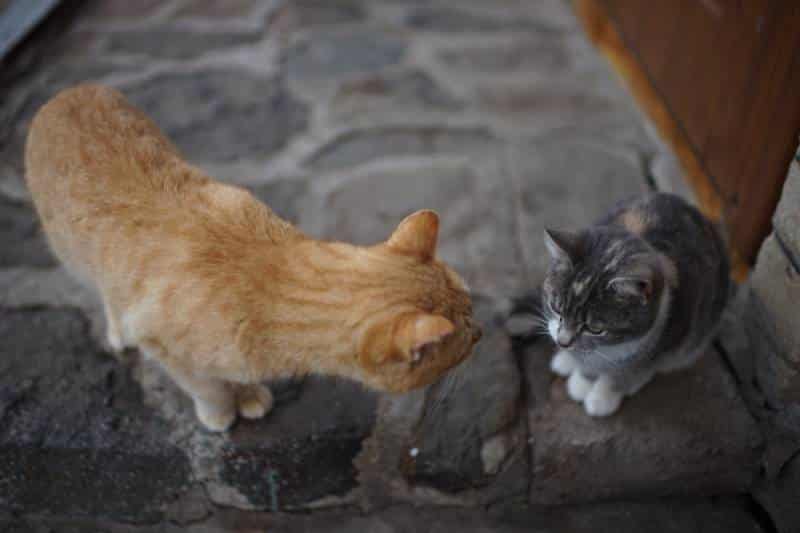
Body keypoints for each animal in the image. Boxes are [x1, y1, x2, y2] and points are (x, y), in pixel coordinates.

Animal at [26, 85, 482, 430]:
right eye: (463, 339)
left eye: (473, 309)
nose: (480, 333)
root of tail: (68, 91)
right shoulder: (162, 344)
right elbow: (206, 386)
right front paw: (221, 411)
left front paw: (247, 394)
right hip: (76, 258)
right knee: (105, 291)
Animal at [516, 191, 728, 416]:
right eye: (556, 308)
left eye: (595, 329)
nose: (563, 342)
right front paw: (581, 376)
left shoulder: (674, 331)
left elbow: (633, 370)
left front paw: (601, 397)